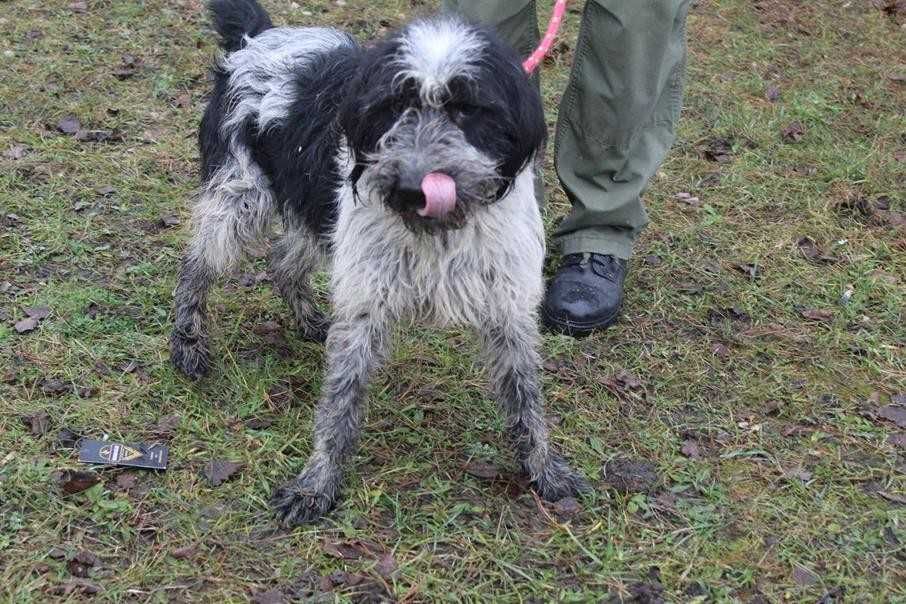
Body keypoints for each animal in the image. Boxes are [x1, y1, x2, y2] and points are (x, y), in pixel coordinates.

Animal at [171, 0, 588, 524]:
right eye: (393, 106)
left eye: (467, 108)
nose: (411, 188)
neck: (439, 230)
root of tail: (259, 38)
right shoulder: (366, 301)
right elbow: (341, 401)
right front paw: (317, 483)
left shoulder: (506, 304)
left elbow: (525, 395)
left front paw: (545, 468)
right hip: (239, 198)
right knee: (196, 268)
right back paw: (187, 342)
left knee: (283, 260)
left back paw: (308, 319)